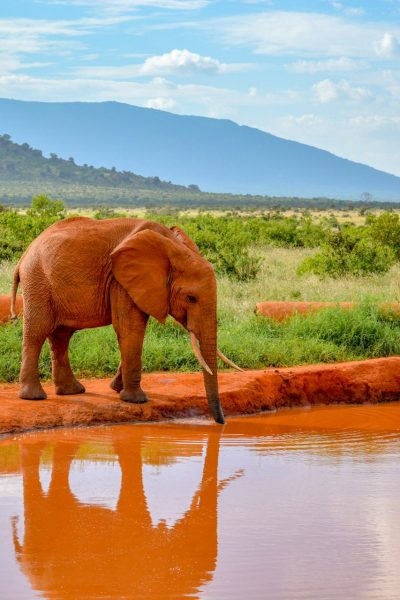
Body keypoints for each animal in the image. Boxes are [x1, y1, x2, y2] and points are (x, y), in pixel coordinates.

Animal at [10, 217, 241, 422]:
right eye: (191, 298)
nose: (221, 422)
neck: (172, 247)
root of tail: (25, 254)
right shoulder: (120, 281)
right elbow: (130, 328)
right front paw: (136, 400)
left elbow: (131, 331)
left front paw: (117, 389)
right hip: (38, 281)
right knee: (37, 332)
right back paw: (34, 397)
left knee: (61, 336)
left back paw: (71, 391)